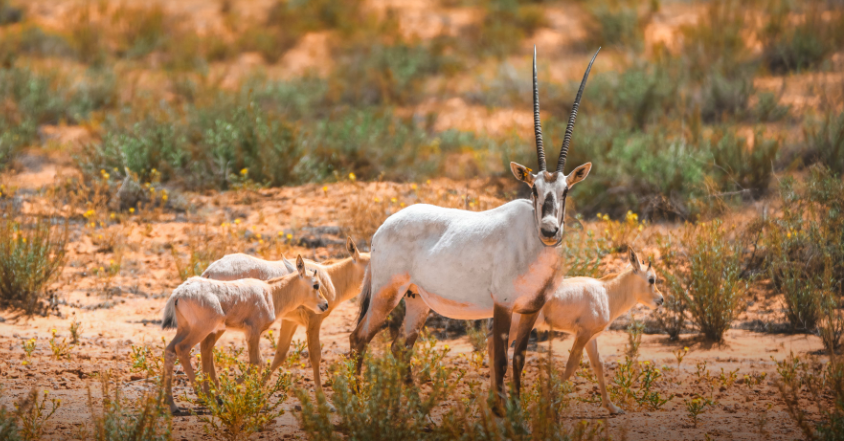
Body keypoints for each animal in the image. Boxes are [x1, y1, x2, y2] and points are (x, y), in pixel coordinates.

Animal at [162, 253, 330, 414]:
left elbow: (259, 362)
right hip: (201, 329)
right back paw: (203, 397)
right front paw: (227, 395)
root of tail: (177, 294)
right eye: (316, 285)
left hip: (185, 329)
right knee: (182, 348)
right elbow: (257, 362)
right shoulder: (253, 332)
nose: (325, 304)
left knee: (170, 350)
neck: (271, 293)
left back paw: (172, 405)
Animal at [201, 237, 370, 388]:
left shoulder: (290, 321)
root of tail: (209, 271)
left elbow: (280, 354)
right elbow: (315, 356)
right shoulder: (314, 321)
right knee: (206, 345)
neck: (331, 278)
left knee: (206, 346)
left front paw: (260, 387)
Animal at [508, 249, 664, 414]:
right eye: (651, 279)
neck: (607, 292)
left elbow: (598, 364)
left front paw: (612, 407)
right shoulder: (583, 334)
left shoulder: (591, 337)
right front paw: (542, 405)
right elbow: (571, 366)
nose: (661, 299)